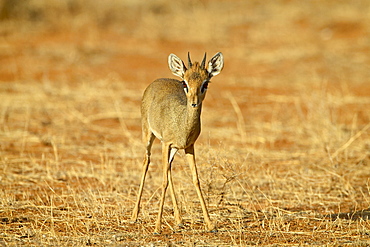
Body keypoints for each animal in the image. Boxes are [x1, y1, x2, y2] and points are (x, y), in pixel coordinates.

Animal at [131, 51, 223, 233]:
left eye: (205, 83)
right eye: (184, 82)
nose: (194, 102)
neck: (182, 123)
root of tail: (157, 80)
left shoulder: (189, 147)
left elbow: (195, 179)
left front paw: (210, 225)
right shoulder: (166, 143)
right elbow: (163, 181)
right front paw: (157, 227)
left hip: (172, 149)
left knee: (169, 170)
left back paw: (179, 219)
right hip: (149, 135)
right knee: (146, 161)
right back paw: (134, 216)